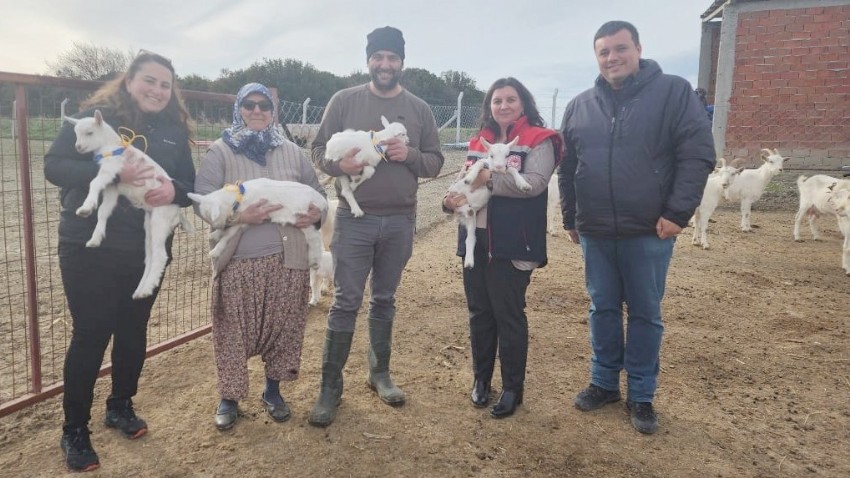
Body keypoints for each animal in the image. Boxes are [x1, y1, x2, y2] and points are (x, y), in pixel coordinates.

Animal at [66, 111, 192, 298]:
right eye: (75, 133)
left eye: (89, 132)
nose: (78, 147)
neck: (110, 146)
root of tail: (177, 211)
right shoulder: (113, 186)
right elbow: (104, 211)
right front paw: (95, 238)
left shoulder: (111, 169)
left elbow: (94, 183)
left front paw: (85, 208)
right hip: (149, 222)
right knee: (150, 256)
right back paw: (140, 290)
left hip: (160, 218)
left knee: (160, 255)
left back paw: (147, 289)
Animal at [187, 178, 326, 268]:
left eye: (214, 217)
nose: (217, 226)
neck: (239, 197)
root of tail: (322, 201)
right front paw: (214, 234)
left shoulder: (242, 221)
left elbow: (227, 236)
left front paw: (215, 250)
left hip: (304, 218)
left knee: (316, 239)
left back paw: (315, 261)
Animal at [444, 136, 524, 268]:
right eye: (491, 155)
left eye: (507, 155)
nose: (499, 167)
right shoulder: (484, 164)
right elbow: (480, 162)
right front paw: (469, 178)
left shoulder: (504, 171)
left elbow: (512, 169)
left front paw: (524, 184)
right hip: (458, 198)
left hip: (472, 219)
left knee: (470, 239)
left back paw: (469, 262)